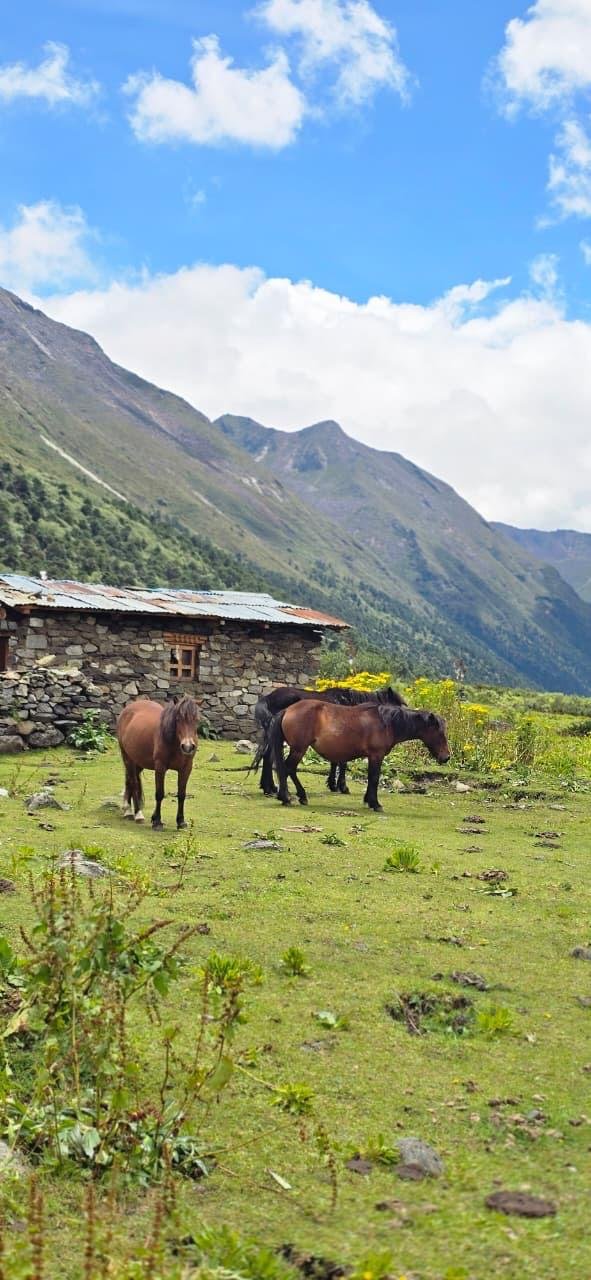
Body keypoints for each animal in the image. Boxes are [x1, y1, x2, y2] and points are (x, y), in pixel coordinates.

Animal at [116, 696, 200, 830]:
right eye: (178, 719)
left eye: (197, 719)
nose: (187, 747)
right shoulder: (160, 767)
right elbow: (159, 794)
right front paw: (157, 821)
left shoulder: (186, 769)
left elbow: (182, 794)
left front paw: (181, 821)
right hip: (127, 758)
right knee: (133, 783)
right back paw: (137, 814)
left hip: (138, 762)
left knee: (129, 781)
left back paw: (128, 810)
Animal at [253, 684, 406, 796]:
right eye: (397, 708)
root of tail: (268, 698)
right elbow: (342, 762)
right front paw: (342, 786)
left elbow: (335, 761)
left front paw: (333, 784)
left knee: (267, 756)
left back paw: (269, 787)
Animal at [268, 700, 450, 812]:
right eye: (440, 733)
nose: (446, 757)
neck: (387, 723)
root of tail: (288, 709)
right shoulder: (376, 756)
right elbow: (374, 778)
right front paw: (375, 804)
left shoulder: (371, 757)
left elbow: (371, 778)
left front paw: (368, 800)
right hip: (299, 749)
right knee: (288, 769)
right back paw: (290, 797)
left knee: (288, 769)